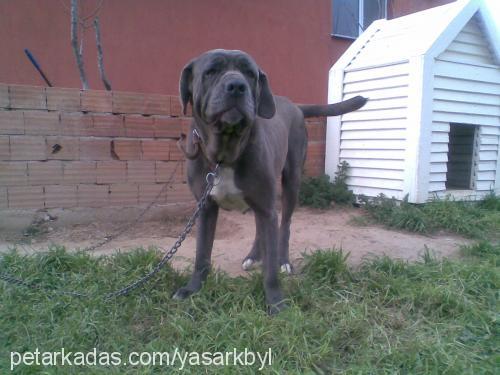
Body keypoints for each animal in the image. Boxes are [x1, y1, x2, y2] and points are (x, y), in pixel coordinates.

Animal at [174, 50, 366, 314]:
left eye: (249, 73)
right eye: (211, 71)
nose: (237, 86)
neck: (224, 155)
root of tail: (295, 106)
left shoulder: (267, 208)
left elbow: (271, 267)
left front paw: (276, 301)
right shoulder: (206, 209)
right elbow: (201, 254)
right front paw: (193, 289)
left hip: (290, 183)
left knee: (284, 226)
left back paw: (283, 261)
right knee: (260, 228)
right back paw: (254, 256)